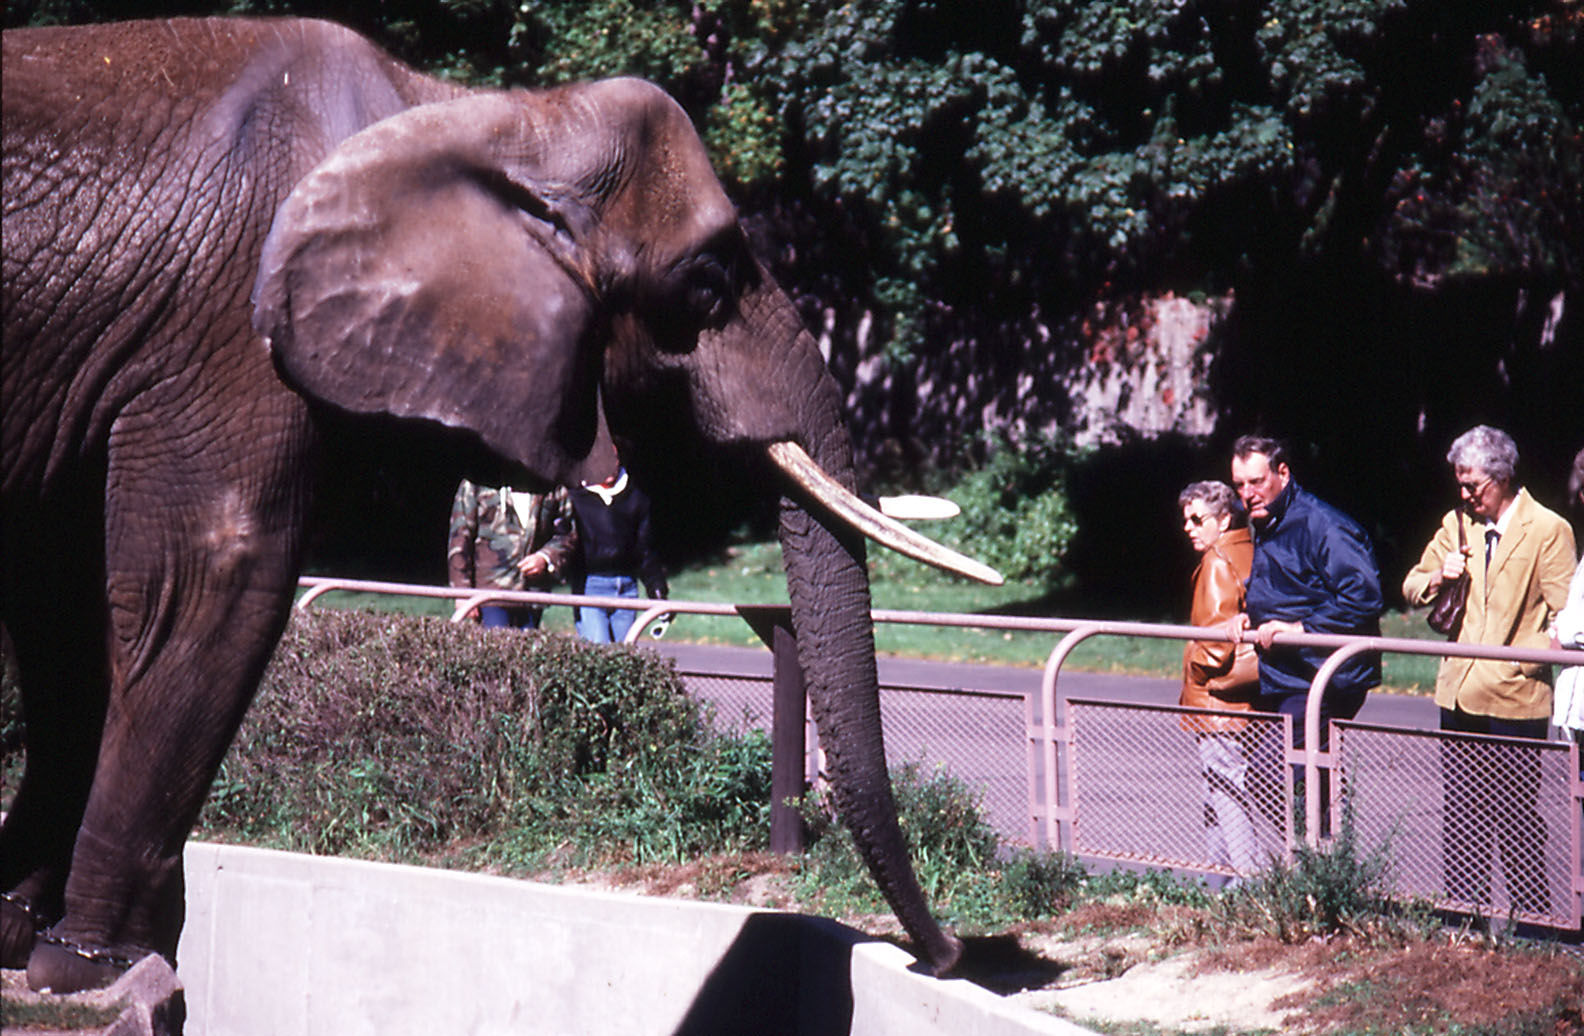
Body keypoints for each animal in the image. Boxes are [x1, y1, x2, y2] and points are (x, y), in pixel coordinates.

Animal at [1, 18, 1001, 993]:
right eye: (707, 286)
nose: (947, 956)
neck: (479, 115)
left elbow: (64, 604)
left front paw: (23, 939)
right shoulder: (226, 331)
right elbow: (207, 576)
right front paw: (91, 966)